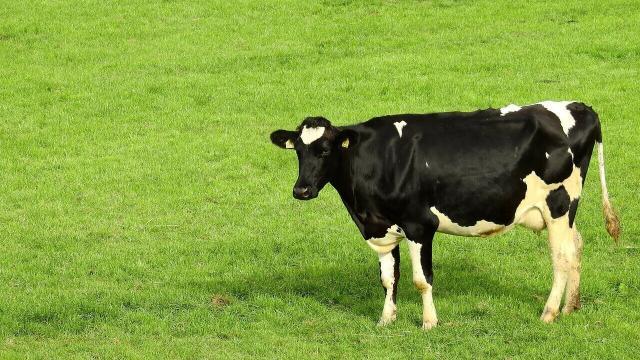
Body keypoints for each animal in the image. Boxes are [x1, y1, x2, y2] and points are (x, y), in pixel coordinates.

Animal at [268, 100, 620, 330]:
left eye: (325, 150)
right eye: (298, 151)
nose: (301, 190)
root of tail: (580, 107)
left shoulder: (419, 224)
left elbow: (421, 279)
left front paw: (429, 322)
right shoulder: (381, 226)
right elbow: (388, 278)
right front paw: (385, 320)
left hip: (559, 204)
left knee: (562, 256)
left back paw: (549, 313)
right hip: (563, 213)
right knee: (577, 246)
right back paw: (571, 307)